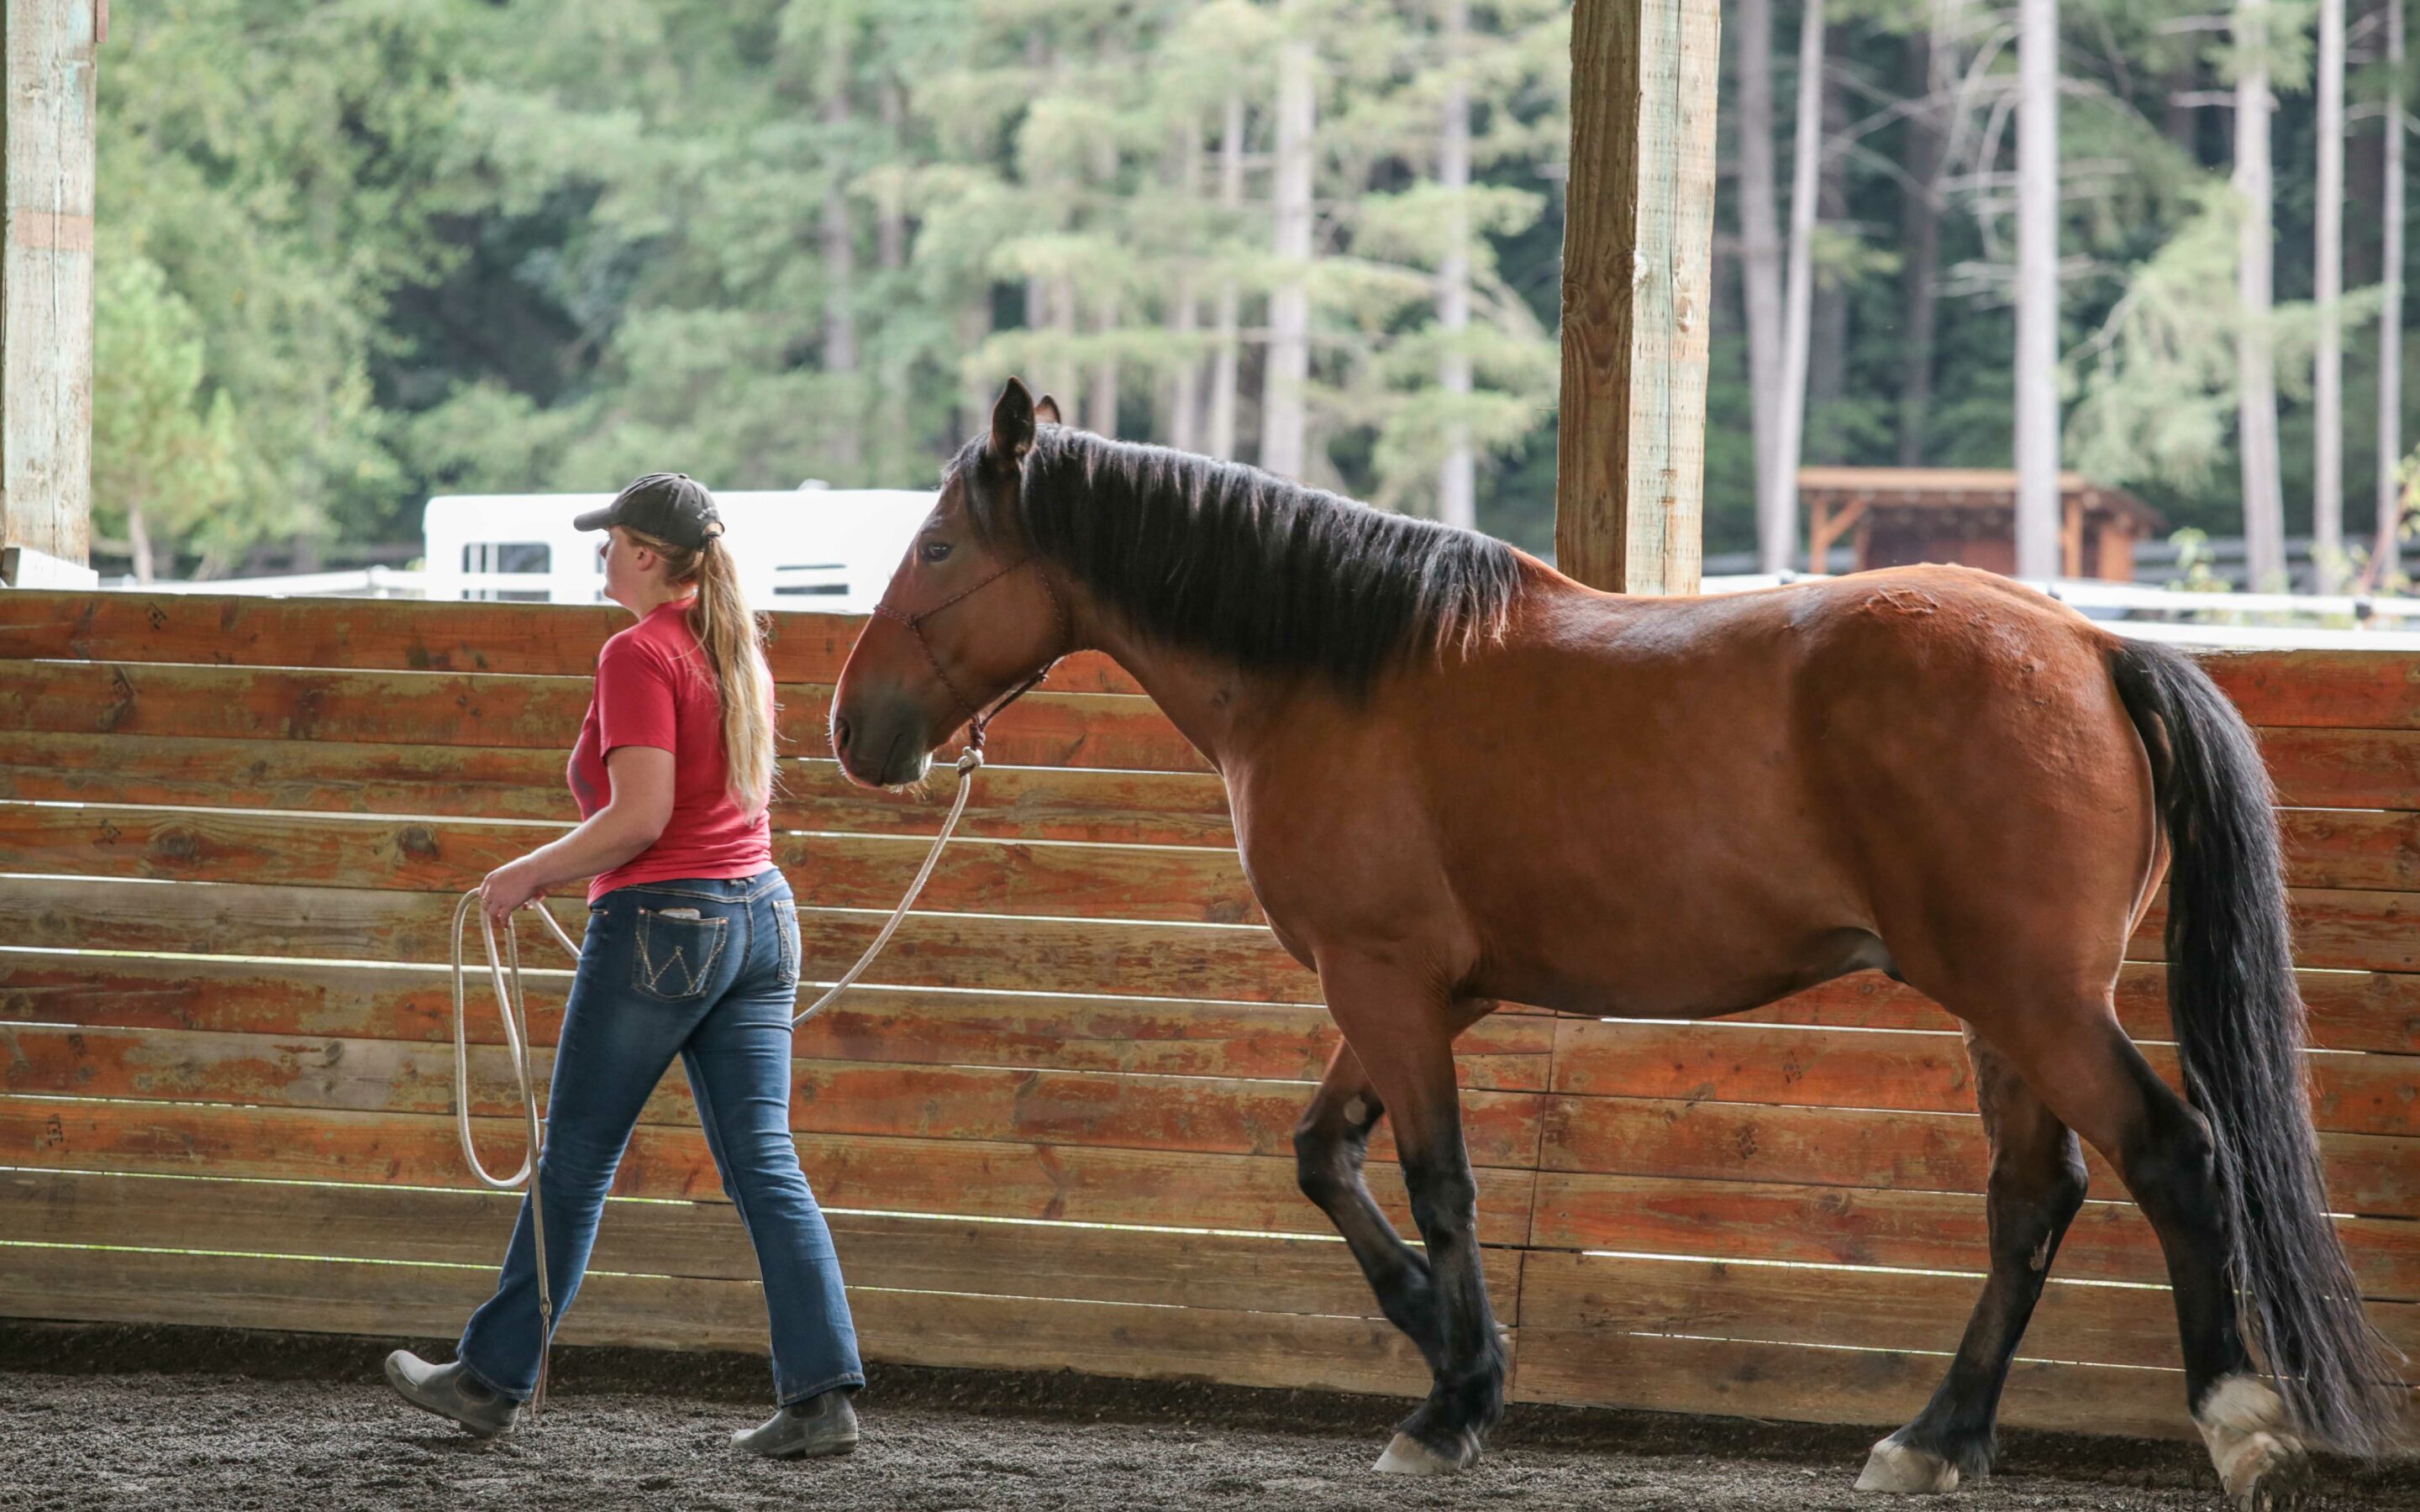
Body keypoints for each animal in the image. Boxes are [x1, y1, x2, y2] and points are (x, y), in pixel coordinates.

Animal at [832, 380, 2400, 1499]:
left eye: (938, 546)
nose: (856, 731)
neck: (1340, 670)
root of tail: (2089, 646)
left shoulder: (1386, 984)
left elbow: (1436, 1181)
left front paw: (1454, 1397)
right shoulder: (1428, 996)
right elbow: (1326, 1157)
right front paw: (1450, 1346)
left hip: (2034, 1001)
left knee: (2173, 1159)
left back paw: (2238, 1422)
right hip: (2003, 1014)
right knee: (2035, 1199)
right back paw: (1938, 1436)